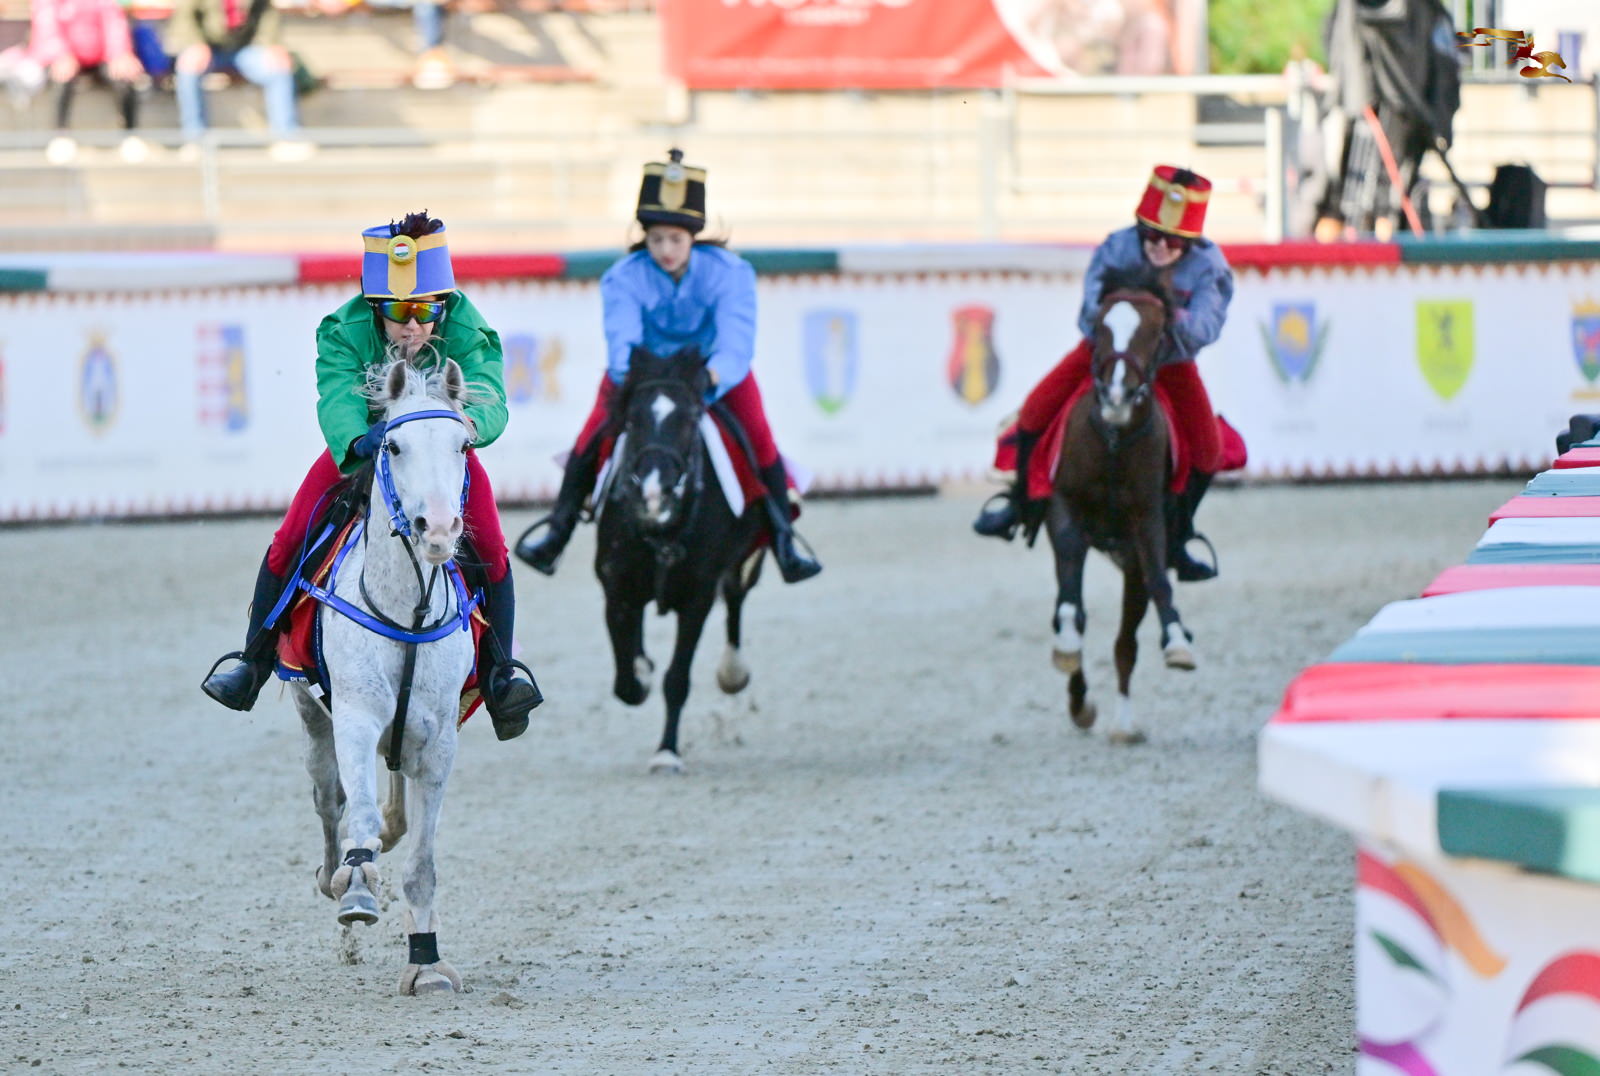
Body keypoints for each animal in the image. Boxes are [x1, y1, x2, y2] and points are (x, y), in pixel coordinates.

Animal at [288, 358, 480, 995]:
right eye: (392, 445)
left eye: (463, 444)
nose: (438, 527)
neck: (404, 611)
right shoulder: (354, 716)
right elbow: (360, 815)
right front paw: (357, 890)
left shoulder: (439, 739)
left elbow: (422, 863)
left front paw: (427, 963)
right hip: (311, 716)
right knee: (330, 800)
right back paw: (334, 874)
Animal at [595, 348, 766, 774]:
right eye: (632, 420)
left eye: (689, 420)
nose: (655, 494)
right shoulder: (616, 587)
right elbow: (625, 683)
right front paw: (640, 673)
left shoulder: (698, 597)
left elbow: (677, 679)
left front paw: (666, 753)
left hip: (744, 562)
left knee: (736, 599)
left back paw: (732, 671)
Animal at [1045, 279, 1196, 745]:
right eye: (1099, 326)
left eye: (1157, 332)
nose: (1116, 394)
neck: (1113, 441)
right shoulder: (1064, 506)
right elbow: (1070, 601)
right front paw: (1068, 645)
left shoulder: (1148, 519)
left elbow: (1157, 584)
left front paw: (1177, 642)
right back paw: (1080, 700)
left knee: (1125, 641)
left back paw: (1122, 724)